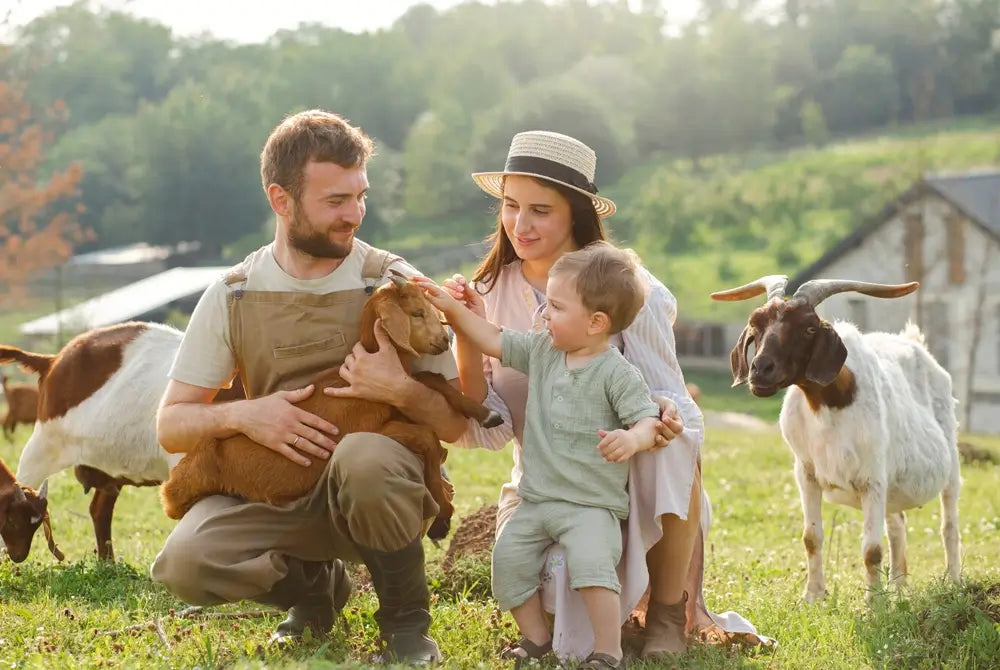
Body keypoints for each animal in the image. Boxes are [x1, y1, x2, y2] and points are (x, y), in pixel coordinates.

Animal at [162, 272, 500, 540]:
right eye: (416, 313)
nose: (443, 341)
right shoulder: (372, 426)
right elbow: (426, 437)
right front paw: (443, 512)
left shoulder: (399, 399)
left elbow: (432, 381)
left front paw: (487, 415)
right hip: (184, 492)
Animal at [712, 276, 960, 604]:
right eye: (755, 323)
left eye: (809, 328)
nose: (760, 370)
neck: (829, 408)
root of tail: (915, 344)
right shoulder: (806, 473)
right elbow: (811, 538)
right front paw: (813, 596)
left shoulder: (872, 479)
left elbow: (871, 549)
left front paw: (874, 603)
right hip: (893, 487)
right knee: (898, 527)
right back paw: (898, 588)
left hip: (950, 465)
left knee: (949, 526)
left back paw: (954, 582)